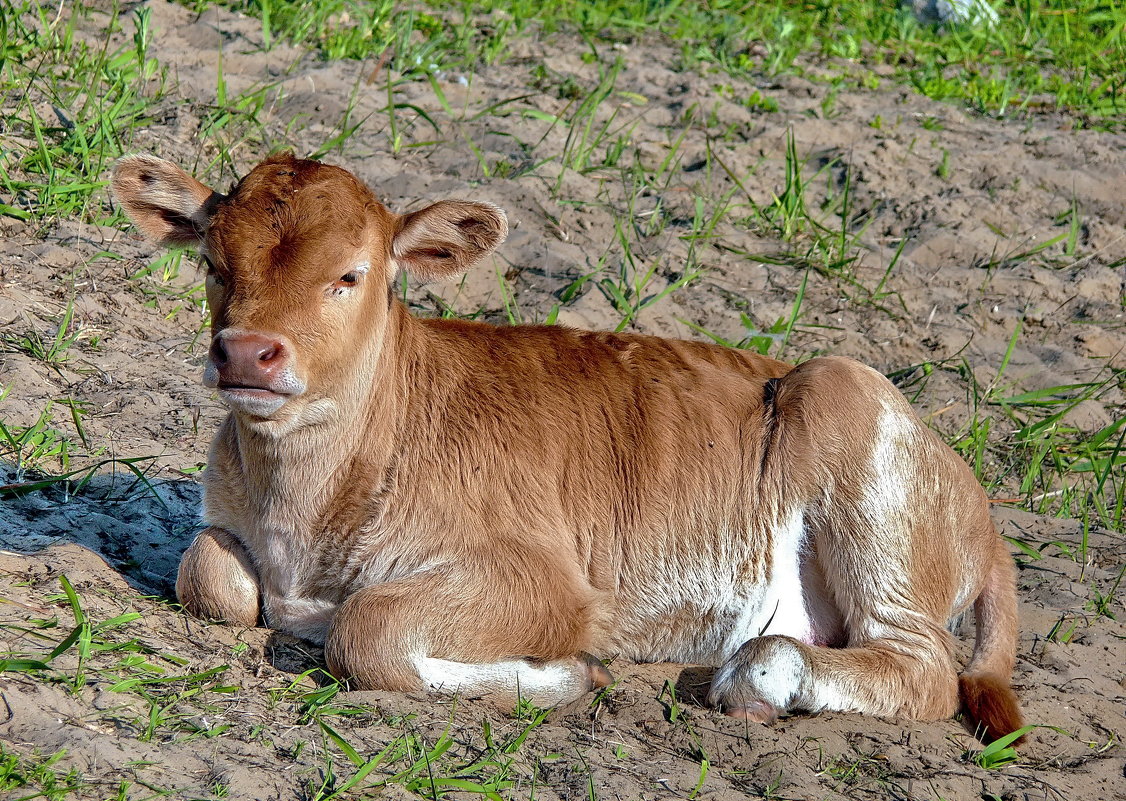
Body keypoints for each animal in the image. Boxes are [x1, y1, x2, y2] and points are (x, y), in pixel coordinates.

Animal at [112, 153, 1022, 743]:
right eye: (212, 262)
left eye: (351, 274)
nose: (247, 352)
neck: (302, 519)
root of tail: (976, 501)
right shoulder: (226, 526)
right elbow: (208, 575)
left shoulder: (548, 578)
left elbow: (364, 631)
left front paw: (560, 677)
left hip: (856, 428)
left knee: (923, 667)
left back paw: (766, 675)